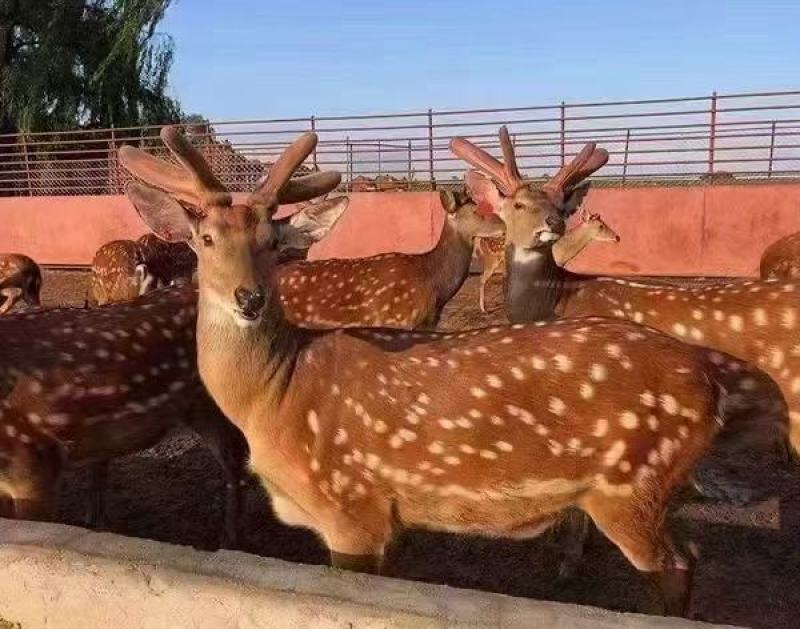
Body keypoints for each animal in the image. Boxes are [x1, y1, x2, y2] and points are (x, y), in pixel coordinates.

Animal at [474, 210, 620, 313]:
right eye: (601, 226)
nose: (617, 237)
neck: (561, 252)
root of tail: (480, 238)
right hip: (491, 260)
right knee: (481, 279)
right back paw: (484, 309)